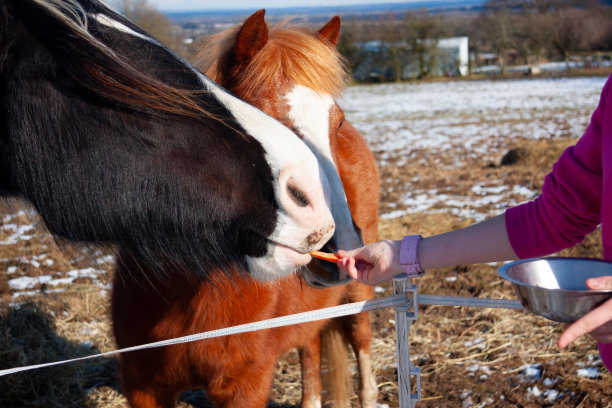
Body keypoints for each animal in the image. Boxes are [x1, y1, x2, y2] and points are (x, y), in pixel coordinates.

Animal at [109, 10, 378, 408]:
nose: (337, 244)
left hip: (358, 295)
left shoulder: (244, 387)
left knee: (361, 348)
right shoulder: (142, 386)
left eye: (337, 121)